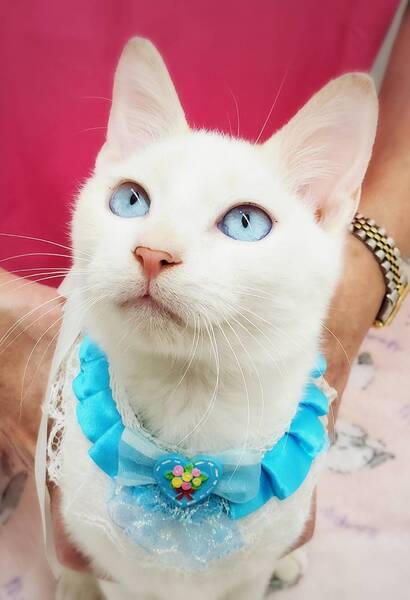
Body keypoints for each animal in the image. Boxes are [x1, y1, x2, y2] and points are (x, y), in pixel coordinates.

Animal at [48, 38, 378, 600]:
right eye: (129, 200)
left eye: (246, 223)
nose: (152, 253)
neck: (193, 402)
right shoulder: (122, 576)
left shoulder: (248, 574)